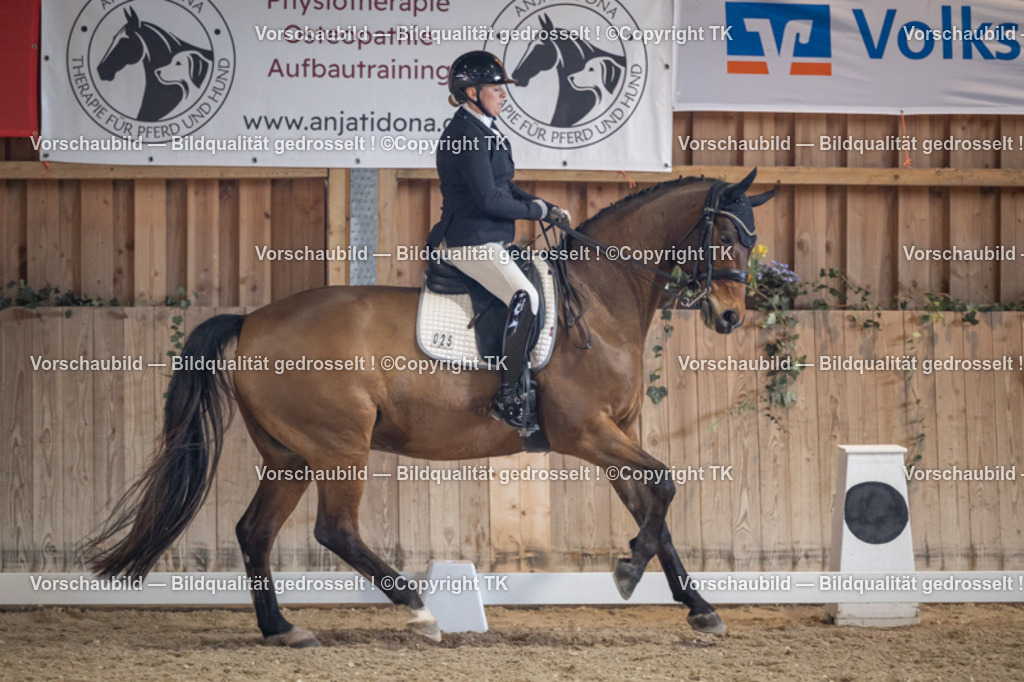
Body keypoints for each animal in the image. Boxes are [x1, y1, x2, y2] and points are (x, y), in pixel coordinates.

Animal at [84, 170, 775, 646]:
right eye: (724, 236)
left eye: (752, 240)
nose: (729, 316)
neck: (601, 302)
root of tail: (251, 320)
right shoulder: (585, 432)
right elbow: (665, 483)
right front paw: (630, 571)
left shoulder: (614, 435)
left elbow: (654, 506)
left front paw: (696, 605)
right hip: (339, 446)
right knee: (334, 530)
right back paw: (420, 610)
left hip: (291, 454)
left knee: (255, 531)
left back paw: (282, 628)